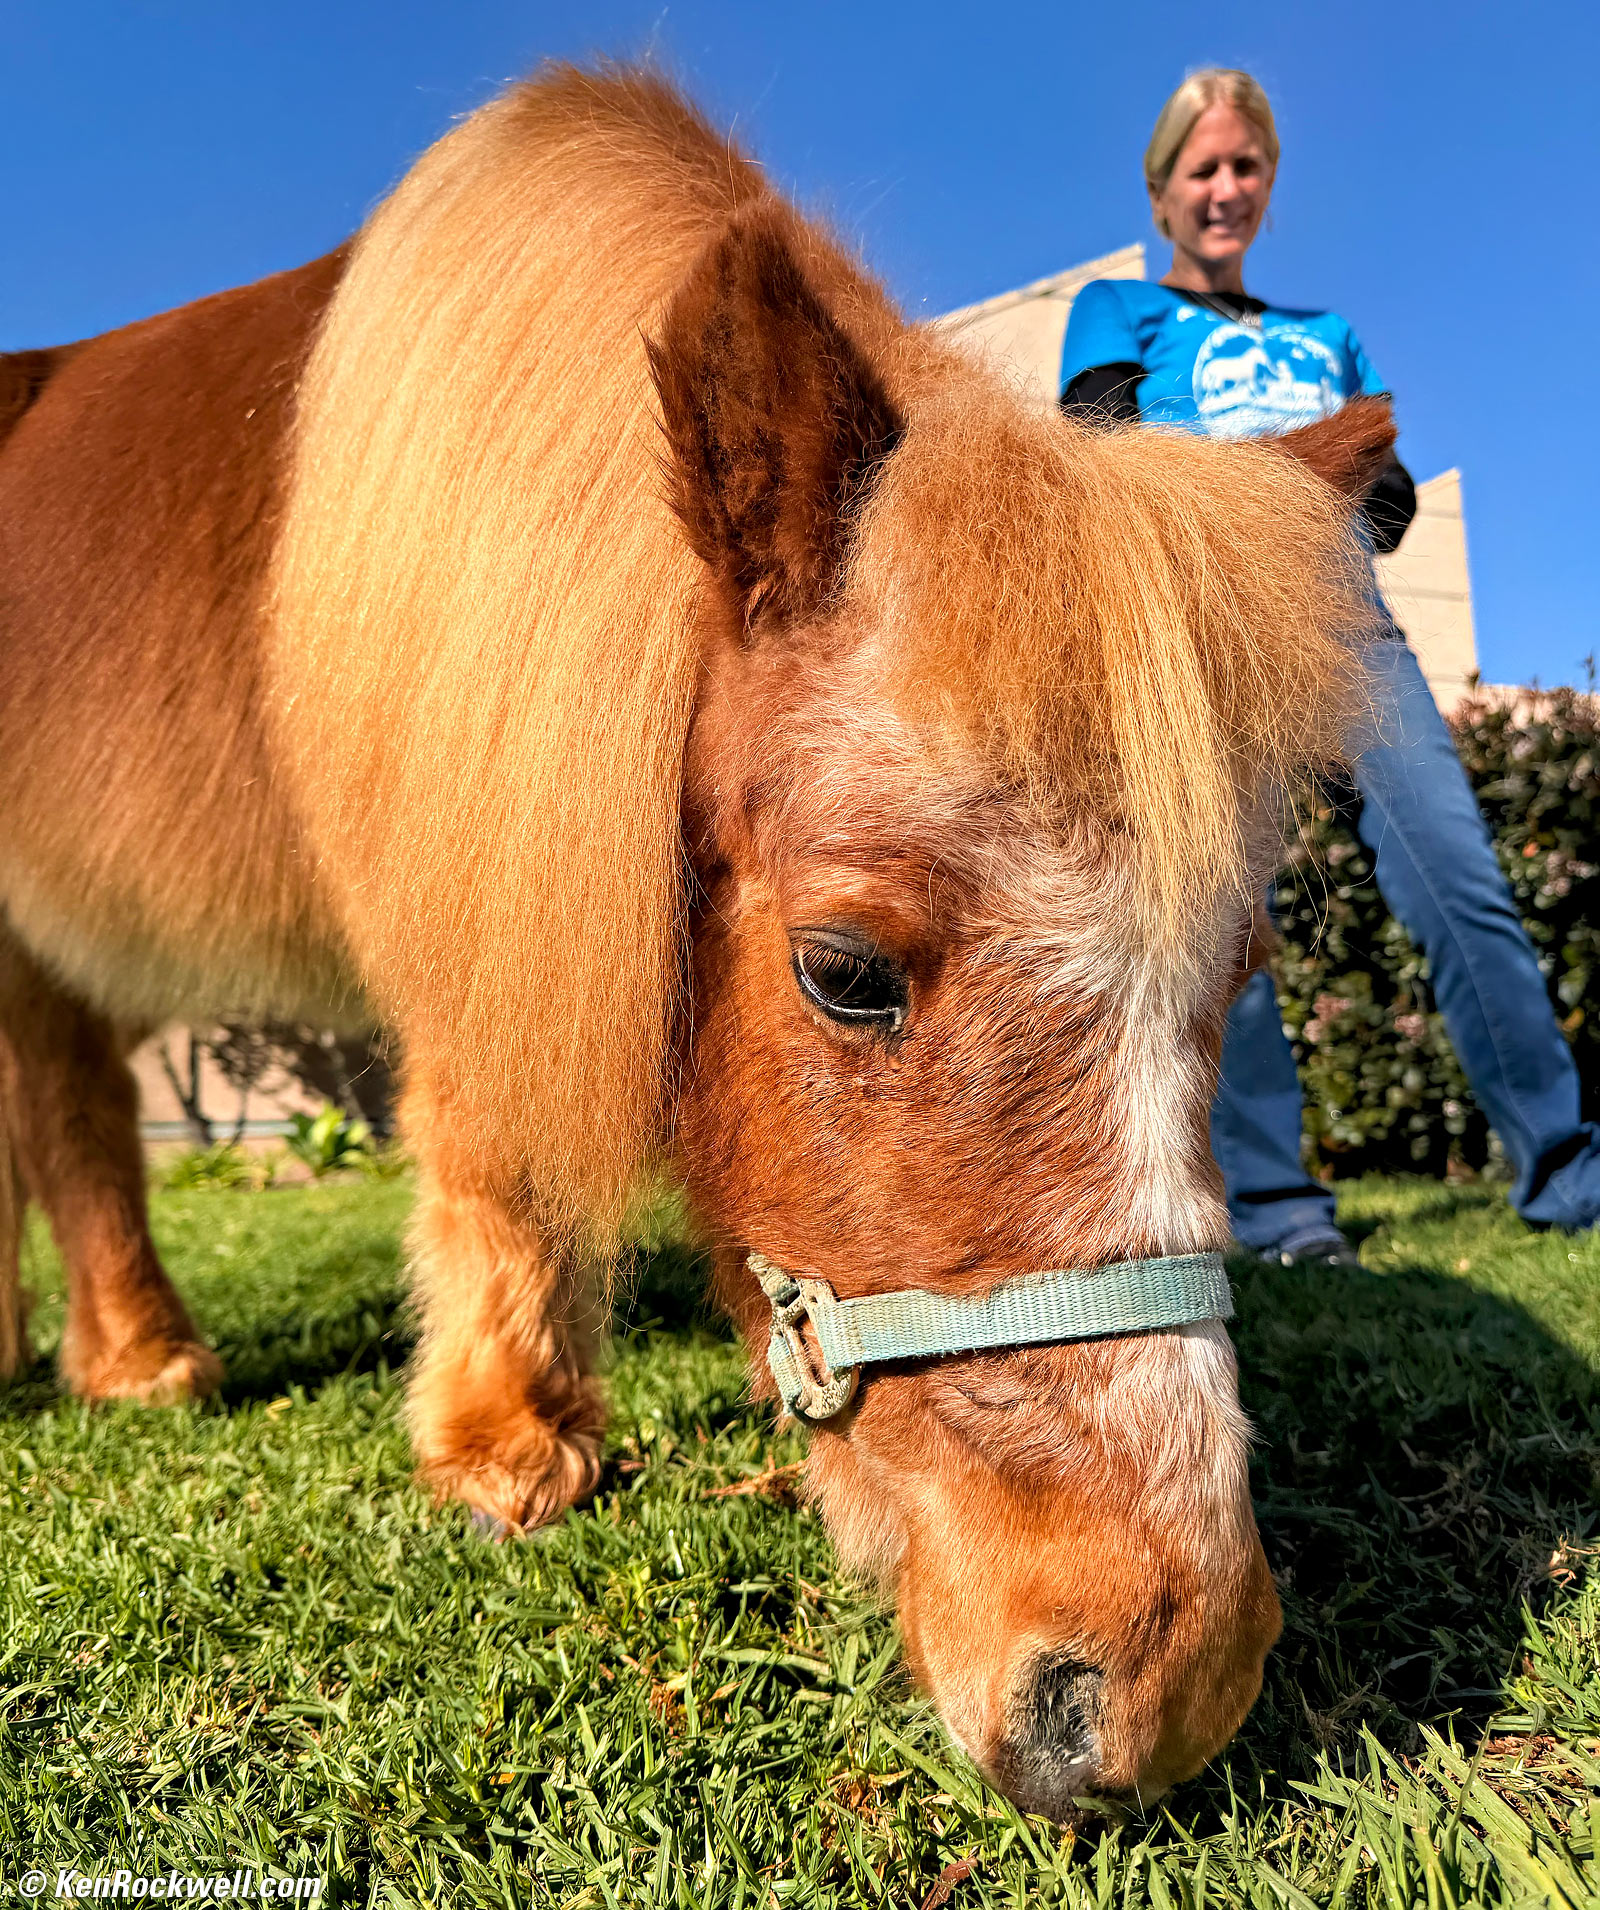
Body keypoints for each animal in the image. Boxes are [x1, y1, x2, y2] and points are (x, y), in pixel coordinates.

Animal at [0, 65, 1396, 1813]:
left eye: (1237, 981)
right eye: (845, 972)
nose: (1163, 1681)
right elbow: (490, 1138)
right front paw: (505, 1444)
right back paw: (141, 1362)